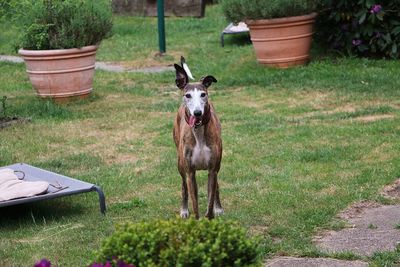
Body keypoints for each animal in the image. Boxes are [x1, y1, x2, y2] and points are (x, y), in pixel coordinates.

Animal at [171, 58, 222, 220]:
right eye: (188, 95)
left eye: (203, 94)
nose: (197, 113)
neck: (198, 133)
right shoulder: (190, 173)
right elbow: (195, 204)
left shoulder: (212, 170)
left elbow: (210, 202)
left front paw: (212, 216)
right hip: (180, 165)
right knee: (183, 187)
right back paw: (184, 210)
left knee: (217, 186)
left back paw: (219, 207)